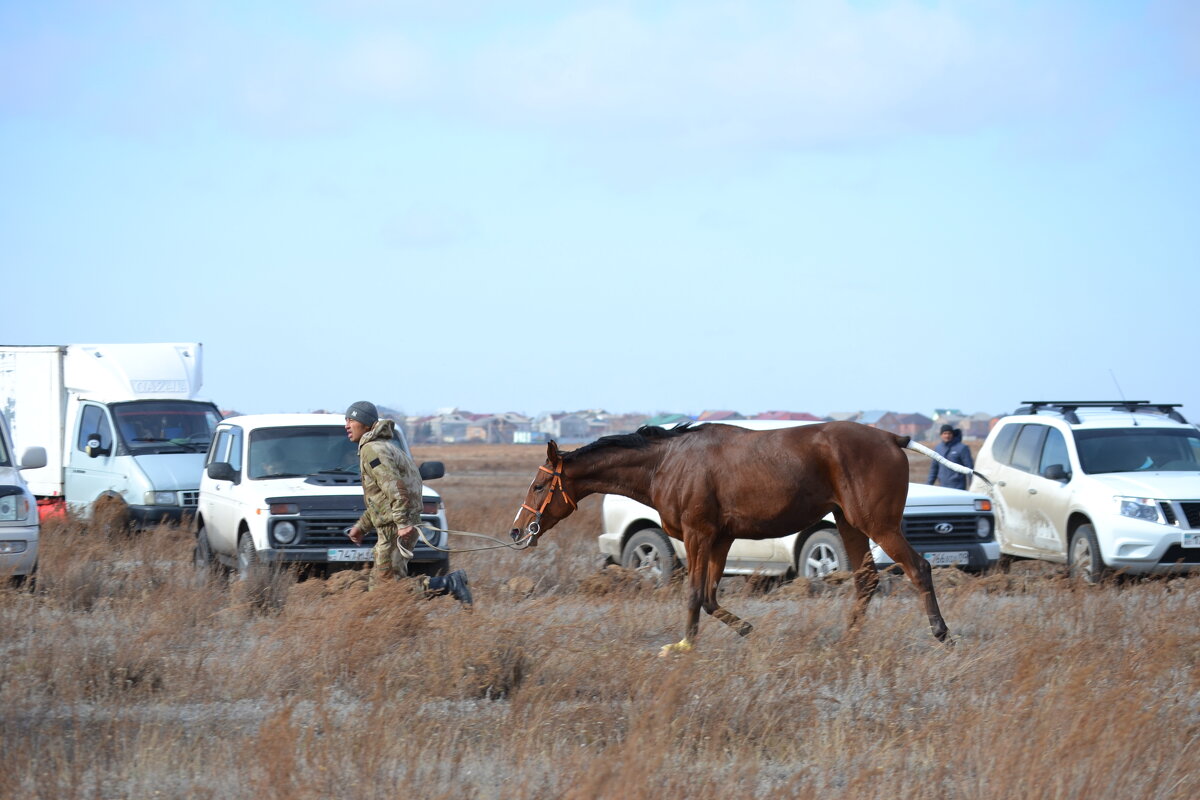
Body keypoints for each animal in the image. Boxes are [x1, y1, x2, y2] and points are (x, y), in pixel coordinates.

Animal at [511, 422, 988, 652]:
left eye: (539, 484)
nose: (518, 530)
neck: (667, 463)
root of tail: (892, 436)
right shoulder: (720, 539)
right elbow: (708, 596)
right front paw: (745, 629)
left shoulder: (699, 535)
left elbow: (693, 594)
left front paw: (684, 646)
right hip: (850, 523)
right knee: (867, 581)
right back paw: (846, 643)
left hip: (877, 524)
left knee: (918, 568)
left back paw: (942, 634)